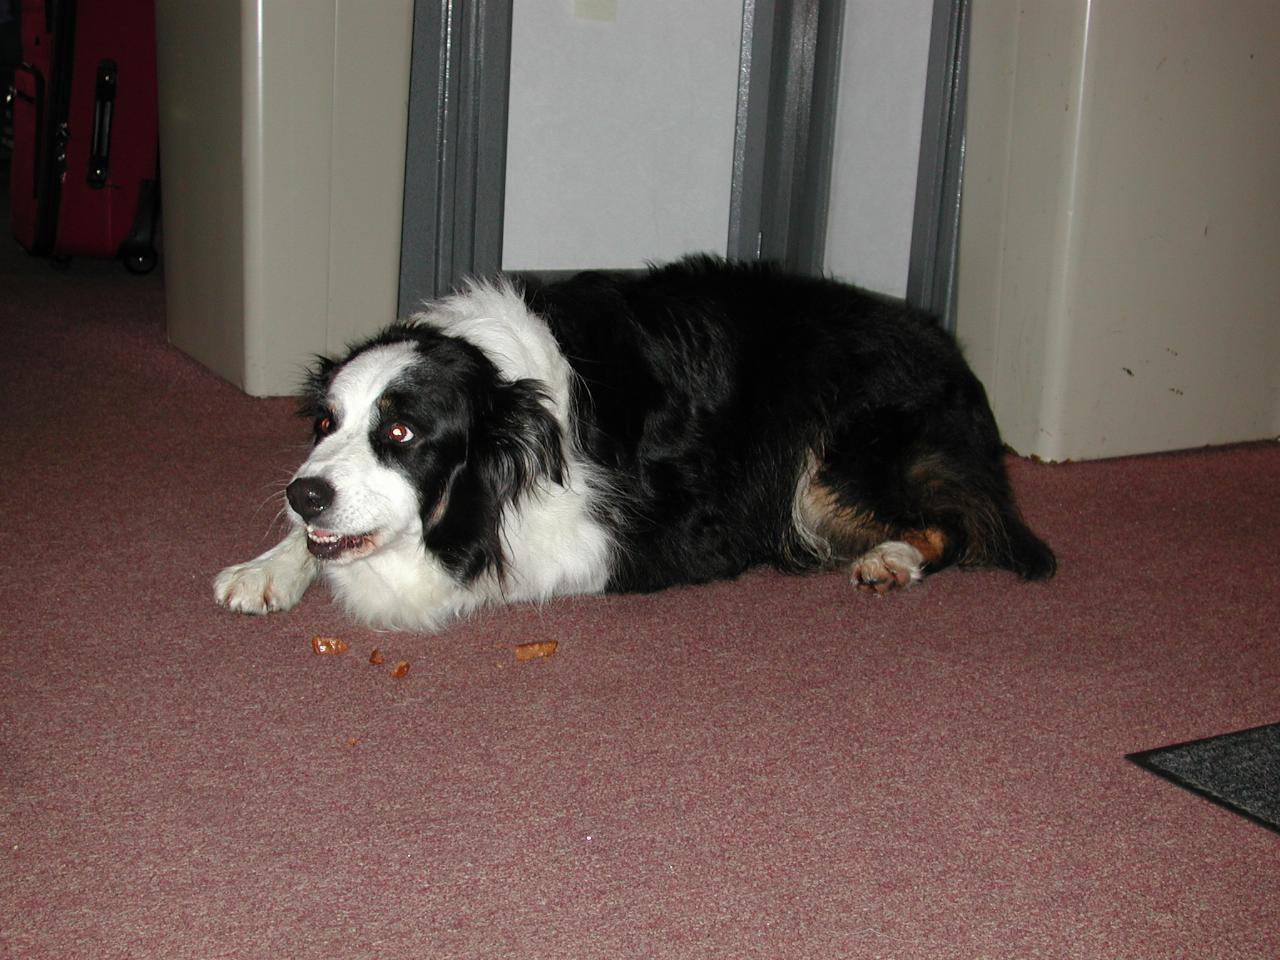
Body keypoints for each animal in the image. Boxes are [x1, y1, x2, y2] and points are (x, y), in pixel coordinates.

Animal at [215, 256, 1054, 632]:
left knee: (965, 523)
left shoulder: (627, 538)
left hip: (834, 461)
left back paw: (893, 558)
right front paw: (266, 567)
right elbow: (317, 543)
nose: (302, 491)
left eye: (400, 433)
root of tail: (946, 347)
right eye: (325, 423)